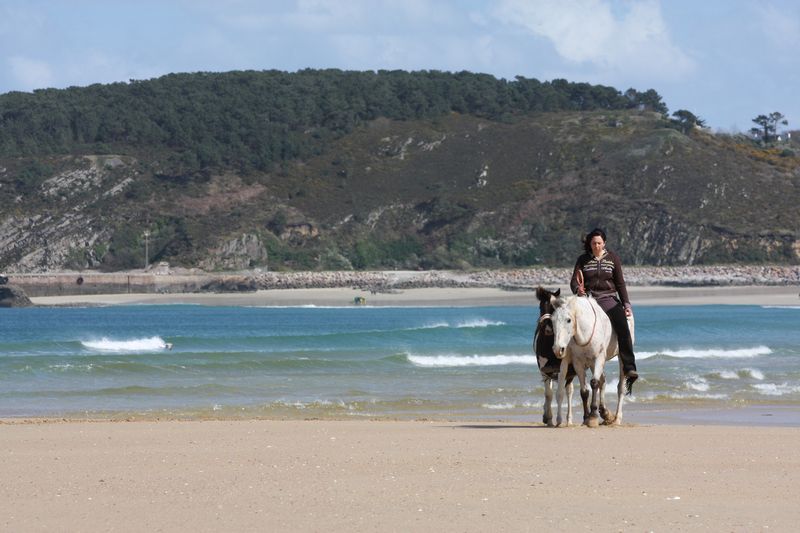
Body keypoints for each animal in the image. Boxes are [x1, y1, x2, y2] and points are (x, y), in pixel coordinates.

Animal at [534, 287, 576, 426]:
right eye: (541, 307)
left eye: (553, 308)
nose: (548, 329)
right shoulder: (543, 368)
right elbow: (549, 394)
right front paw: (549, 418)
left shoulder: (563, 368)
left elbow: (560, 394)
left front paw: (559, 420)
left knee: (569, 391)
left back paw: (569, 420)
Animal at [550, 294, 628, 427]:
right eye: (552, 321)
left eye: (568, 320)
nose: (557, 349)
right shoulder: (578, 362)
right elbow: (584, 391)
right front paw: (586, 417)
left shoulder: (598, 358)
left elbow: (594, 383)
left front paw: (592, 417)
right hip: (590, 364)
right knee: (603, 381)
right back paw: (605, 413)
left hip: (619, 357)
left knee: (620, 387)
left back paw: (617, 418)